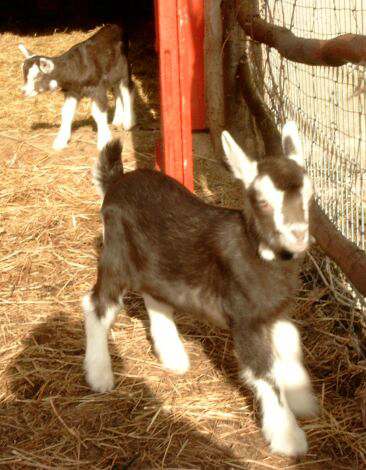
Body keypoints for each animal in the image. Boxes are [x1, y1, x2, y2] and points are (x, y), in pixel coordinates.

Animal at [83, 123, 318, 458]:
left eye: (310, 195)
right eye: (263, 201)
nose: (298, 235)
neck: (255, 249)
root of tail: (115, 182)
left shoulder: (275, 311)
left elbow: (292, 342)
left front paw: (301, 398)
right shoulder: (245, 319)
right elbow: (265, 371)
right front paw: (288, 438)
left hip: (157, 263)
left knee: (155, 297)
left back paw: (173, 357)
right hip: (116, 257)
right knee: (96, 305)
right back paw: (100, 376)